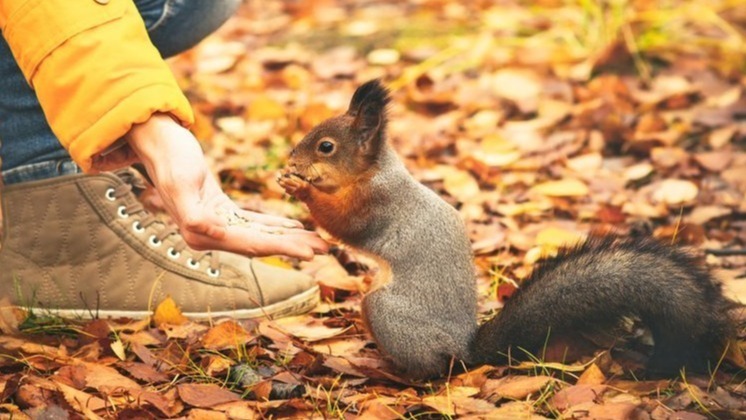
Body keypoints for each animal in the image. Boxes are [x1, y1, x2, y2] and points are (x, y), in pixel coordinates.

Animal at [277, 80, 734, 380]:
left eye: (326, 147)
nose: (291, 159)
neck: (374, 172)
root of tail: (464, 352)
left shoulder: (376, 205)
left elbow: (344, 224)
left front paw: (300, 188)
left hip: (389, 313)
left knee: (431, 371)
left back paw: (393, 372)